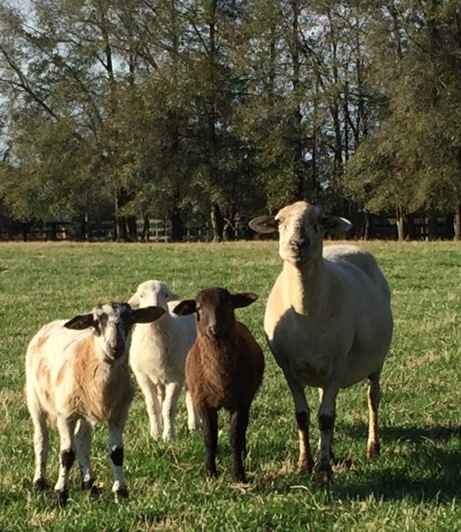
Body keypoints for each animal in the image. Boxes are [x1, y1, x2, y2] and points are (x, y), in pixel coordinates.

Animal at [25, 301, 165, 506]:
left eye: (130, 319)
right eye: (96, 321)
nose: (115, 347)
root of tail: (50, 324)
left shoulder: (118, 414)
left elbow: (117, 453)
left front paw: (120, 492)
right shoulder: (65, 415)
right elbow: (66, 455)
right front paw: (60, 495)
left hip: (84, 410)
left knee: (82, 440)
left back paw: (88, 484)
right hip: (35, 399)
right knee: (41, 440)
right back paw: (39, 483)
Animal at [128, 280, 200, 440]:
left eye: (165, 295)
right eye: (141, 295)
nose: (154, 308)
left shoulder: (176, 379)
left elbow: (169, 408)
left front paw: (168, 436)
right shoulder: (143, 378)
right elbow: (153, 407)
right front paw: (155, 434)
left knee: (190, 398)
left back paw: (194, 426)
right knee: (161, 399)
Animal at [173, 287, 265, 483]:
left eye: (229, 304)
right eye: (198, 307)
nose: (215, 328)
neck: (220, 379)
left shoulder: (240, 402)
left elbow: (235, 437)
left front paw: (238, 475)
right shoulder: (203, 403)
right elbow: (210, 438)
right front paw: (210, 473)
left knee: (243, 427)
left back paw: (244, 452)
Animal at [249, 201, 393, 480]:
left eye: (322, 222)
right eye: (279, 221)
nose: (298, 243)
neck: (305, 311)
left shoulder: (338, 363)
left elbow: (326, 417)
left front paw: (323, 469)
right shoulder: (288, 368)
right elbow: (303, 416)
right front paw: (305, 463)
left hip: (376, 362)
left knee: (373, 397)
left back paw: (373, 448)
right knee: (325, 400)